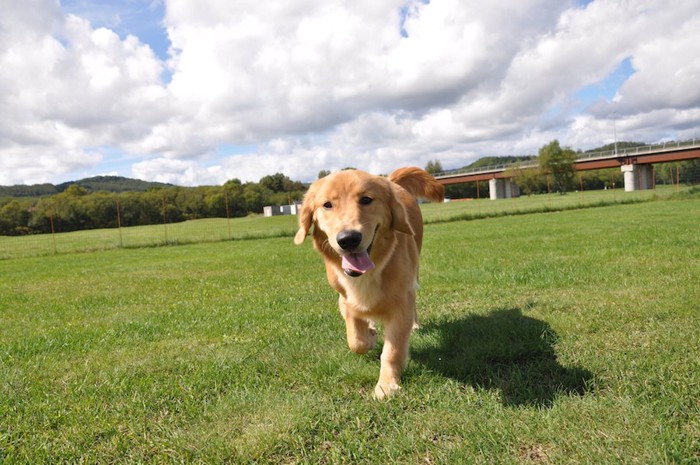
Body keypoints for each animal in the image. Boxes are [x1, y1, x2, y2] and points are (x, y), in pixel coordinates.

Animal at [294, 165, 442, 396]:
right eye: (327, 205)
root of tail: (391, 181)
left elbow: (392, 350)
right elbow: (356, 340)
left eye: (366, 200)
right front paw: (370, 335)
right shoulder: (345, 299)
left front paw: (386, 385)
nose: (348, 239)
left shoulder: (401, 303)